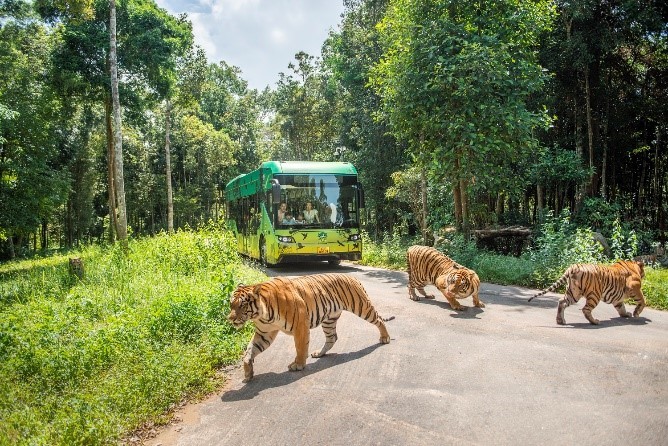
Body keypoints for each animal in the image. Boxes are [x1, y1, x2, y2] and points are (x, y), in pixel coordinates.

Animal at [227, 274, 394, 382]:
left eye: (242, 305)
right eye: (231, 304)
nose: (230, 319)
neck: (262, 314)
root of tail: (353, 277)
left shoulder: (300, 325)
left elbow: (300, 347)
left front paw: (298, 365)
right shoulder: (264, 333)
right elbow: (250, 350)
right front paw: (248, 373)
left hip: (362, 307)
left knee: (379, 320)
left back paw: (385, 338)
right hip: (329, 320)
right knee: (332, 338)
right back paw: (319, 353)